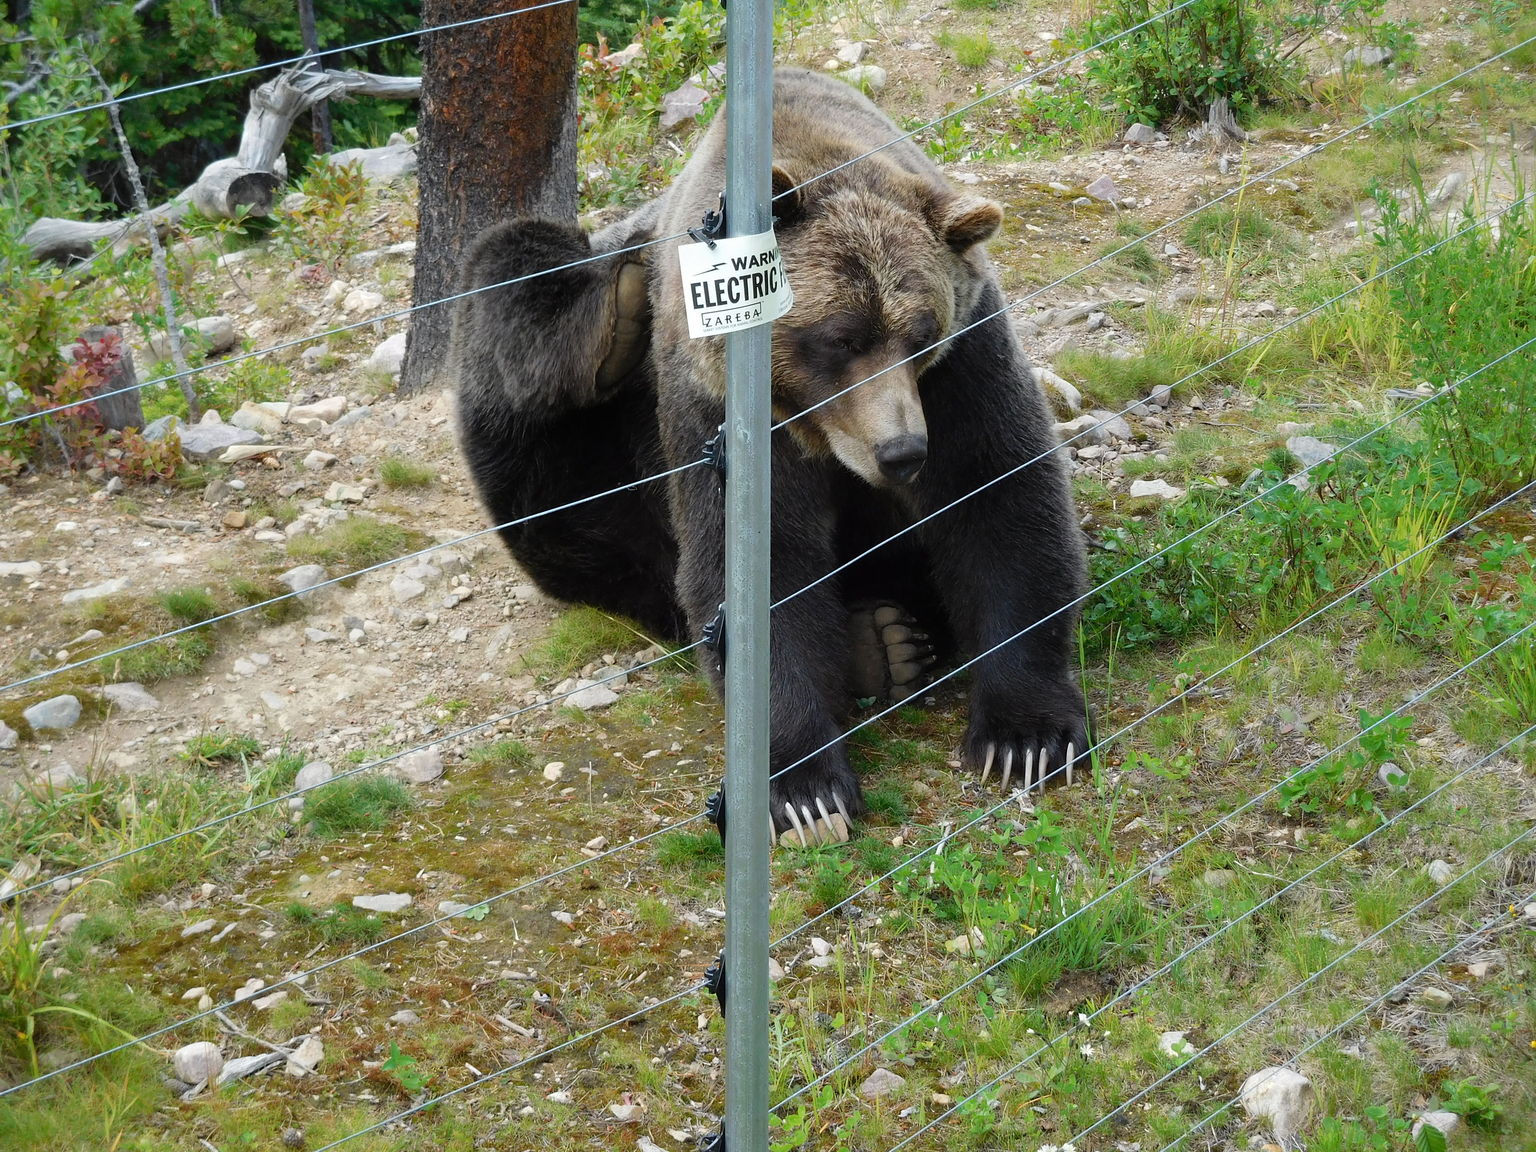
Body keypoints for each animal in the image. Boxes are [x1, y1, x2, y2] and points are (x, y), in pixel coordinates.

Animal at [448, 67, 1087, 841]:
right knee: (513, 276)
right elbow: (759, 567)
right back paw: (611, 321)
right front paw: (804, 791)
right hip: (577, 440)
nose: (901, 451)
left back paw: (887, 644)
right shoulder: (715, 410)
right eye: (840, 337)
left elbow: (998, 496)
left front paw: (1025, 736)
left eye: (921, 332)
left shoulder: (962, 366)